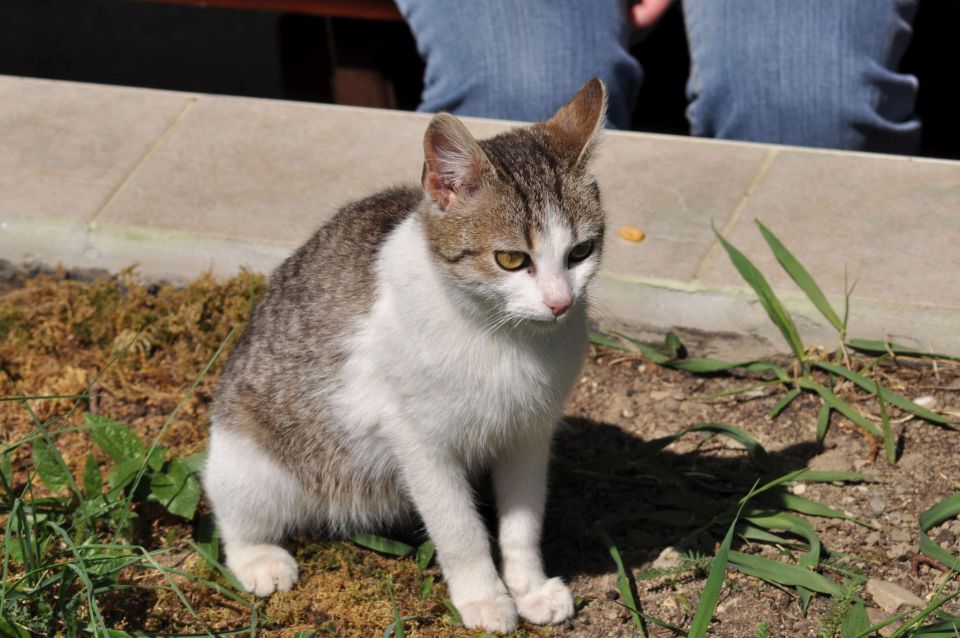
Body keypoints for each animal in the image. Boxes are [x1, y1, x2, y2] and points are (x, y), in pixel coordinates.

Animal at [202, 77, 608, 632]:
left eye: (581, 253)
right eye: (511, 259)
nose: (560, 302)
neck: (502, 338)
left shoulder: (528, 435)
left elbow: (522, 523)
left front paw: (528, 588)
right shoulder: (419, 442)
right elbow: (459, 529)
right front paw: (484, 598)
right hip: (252, 457)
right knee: (231, 508)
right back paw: (258, 559)